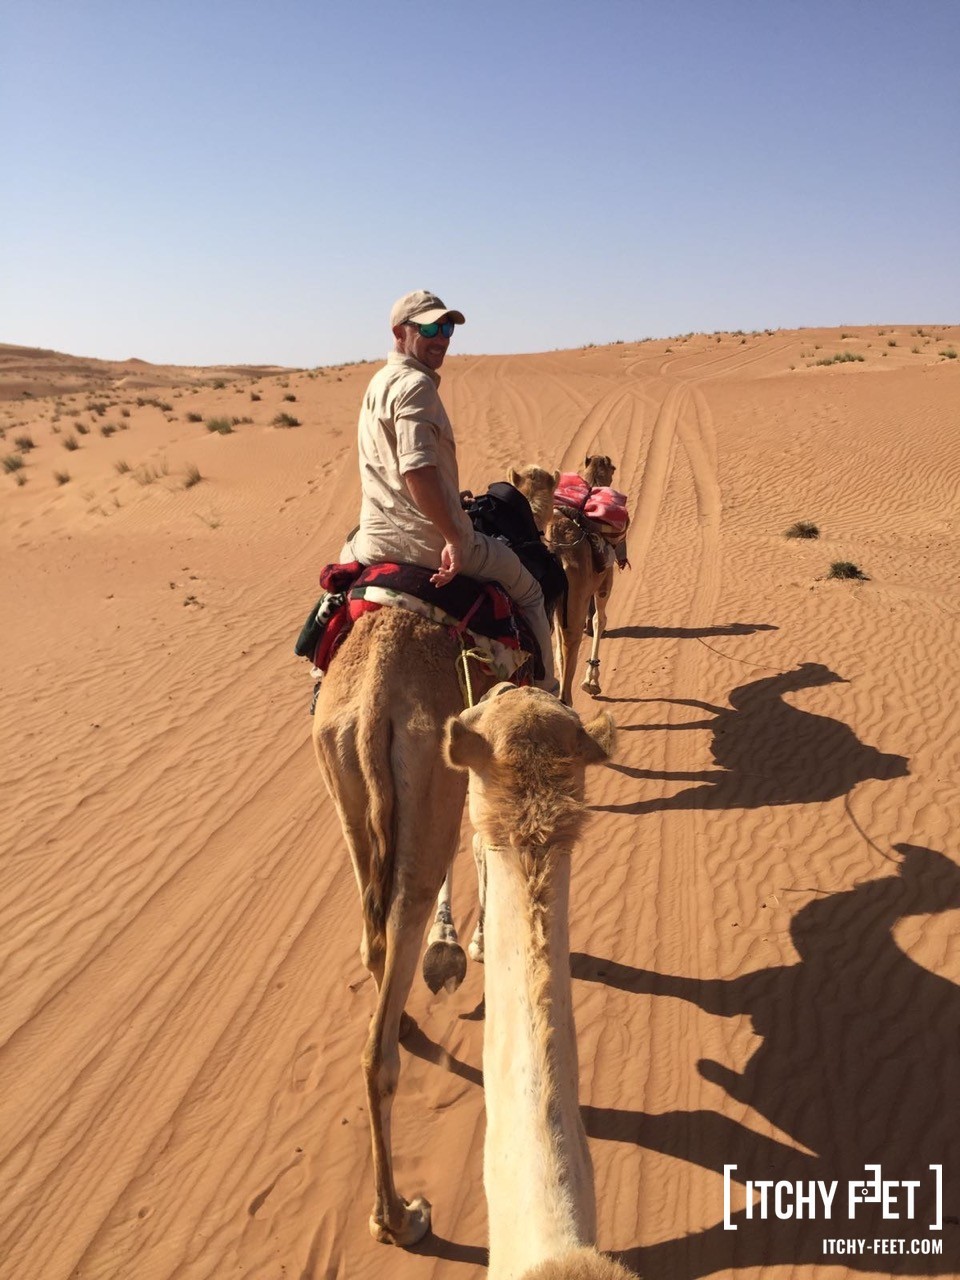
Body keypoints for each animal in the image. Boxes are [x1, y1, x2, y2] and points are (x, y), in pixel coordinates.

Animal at [313, 609, 496, 1249]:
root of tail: (373, 707)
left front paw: (454, 948)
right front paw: (475, 943)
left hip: (344, 782)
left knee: (375, 942)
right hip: (427, 769)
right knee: (378, 1056)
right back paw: (399, 1217)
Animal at [552, 458, 619, 706]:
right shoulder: (605, 581)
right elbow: (601, 620)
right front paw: (592, 681)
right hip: (575, 595)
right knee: (570, 641)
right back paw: (565, 701)